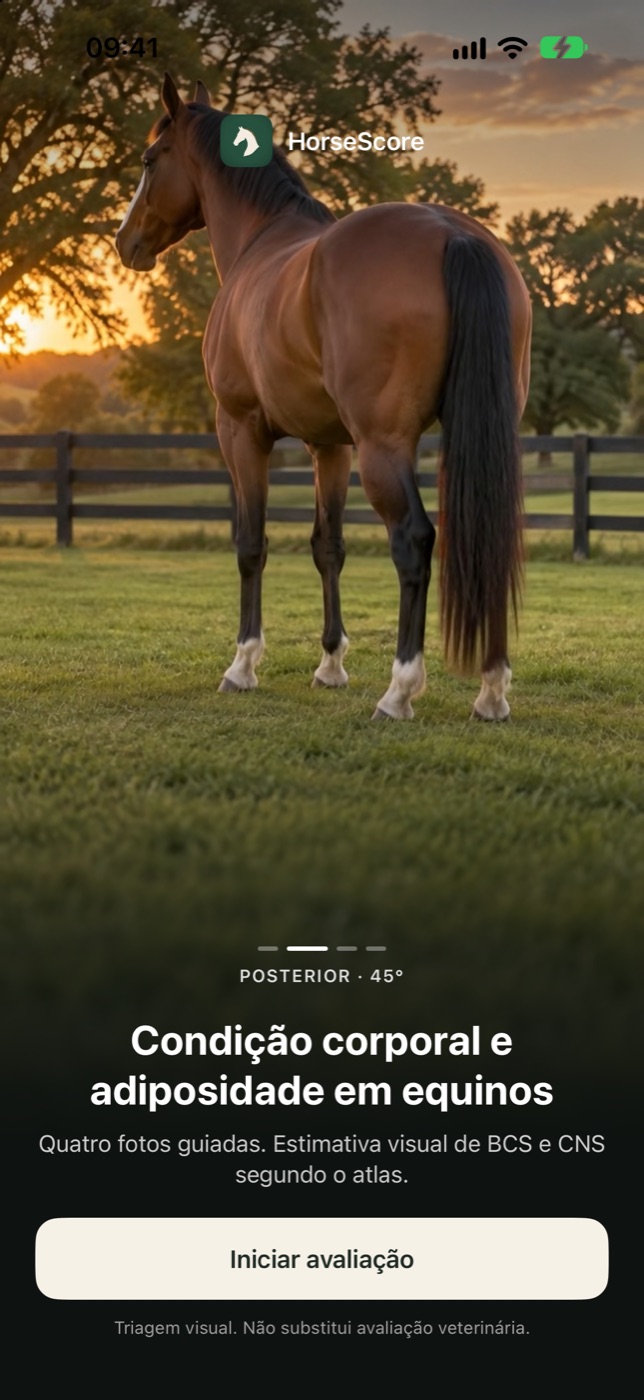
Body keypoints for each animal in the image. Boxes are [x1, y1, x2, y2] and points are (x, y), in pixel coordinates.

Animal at [116, 75, 531, 721]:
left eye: (149, 159)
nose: (124, 241)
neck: (261, 243)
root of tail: (456, 235)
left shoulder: (240, 430)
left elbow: (251, 544)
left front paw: (242, 665)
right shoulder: (328, 445)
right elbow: (327, 546)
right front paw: (331, 664)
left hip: (384, 447)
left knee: (414, 540)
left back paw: (399, 691)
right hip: (482, 435)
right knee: (489, 538)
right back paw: (491, 691)